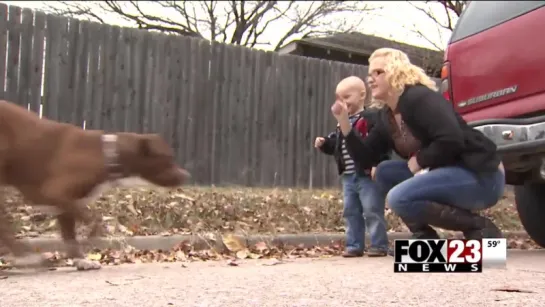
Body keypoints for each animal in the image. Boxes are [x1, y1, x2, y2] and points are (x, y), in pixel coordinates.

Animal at [0, 100, 190, 270]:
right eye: (168, 159)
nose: (186, 175)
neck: (108, 155)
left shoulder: (65, 205)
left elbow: (70, 235)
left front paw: (80, 260)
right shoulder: (53, 193)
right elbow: (94, 219)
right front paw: (93, 234)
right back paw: (25, 255)